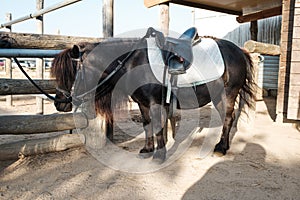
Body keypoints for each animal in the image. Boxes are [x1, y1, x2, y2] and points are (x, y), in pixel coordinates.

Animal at [51, 27, 255, 162]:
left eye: (69, 74)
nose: (59, 103)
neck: (134, 62)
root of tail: (239, 51)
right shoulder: (142, 104)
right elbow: (148, 125)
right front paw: (148, 149)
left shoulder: (155, 103)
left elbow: (157, 126)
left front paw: (159, 155)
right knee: (226, 118)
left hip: (228, 94)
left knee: (228, 118)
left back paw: (221, 148)